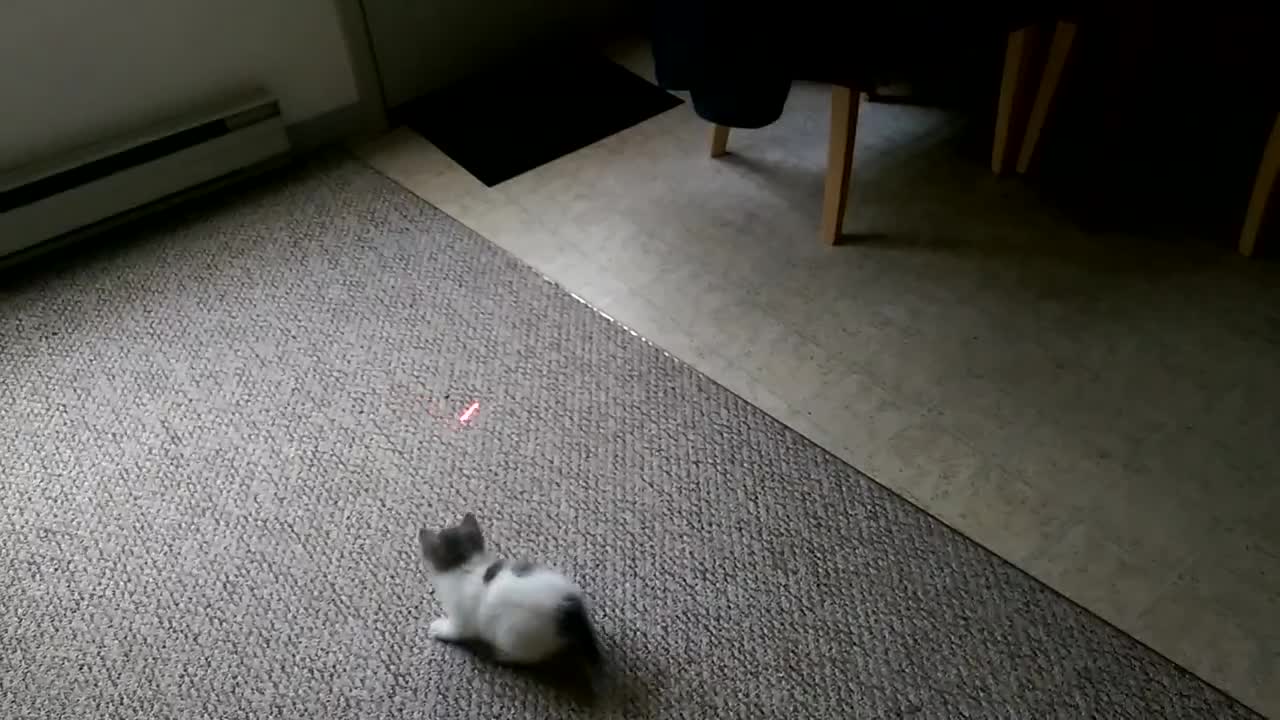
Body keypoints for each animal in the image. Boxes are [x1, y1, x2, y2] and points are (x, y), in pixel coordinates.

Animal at [417, 509, 601, 666]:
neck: (466, 566)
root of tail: (571, 610)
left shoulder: (461, 619)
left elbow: (455, 631)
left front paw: (439, 629)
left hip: (515, 634)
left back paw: (499, 654)